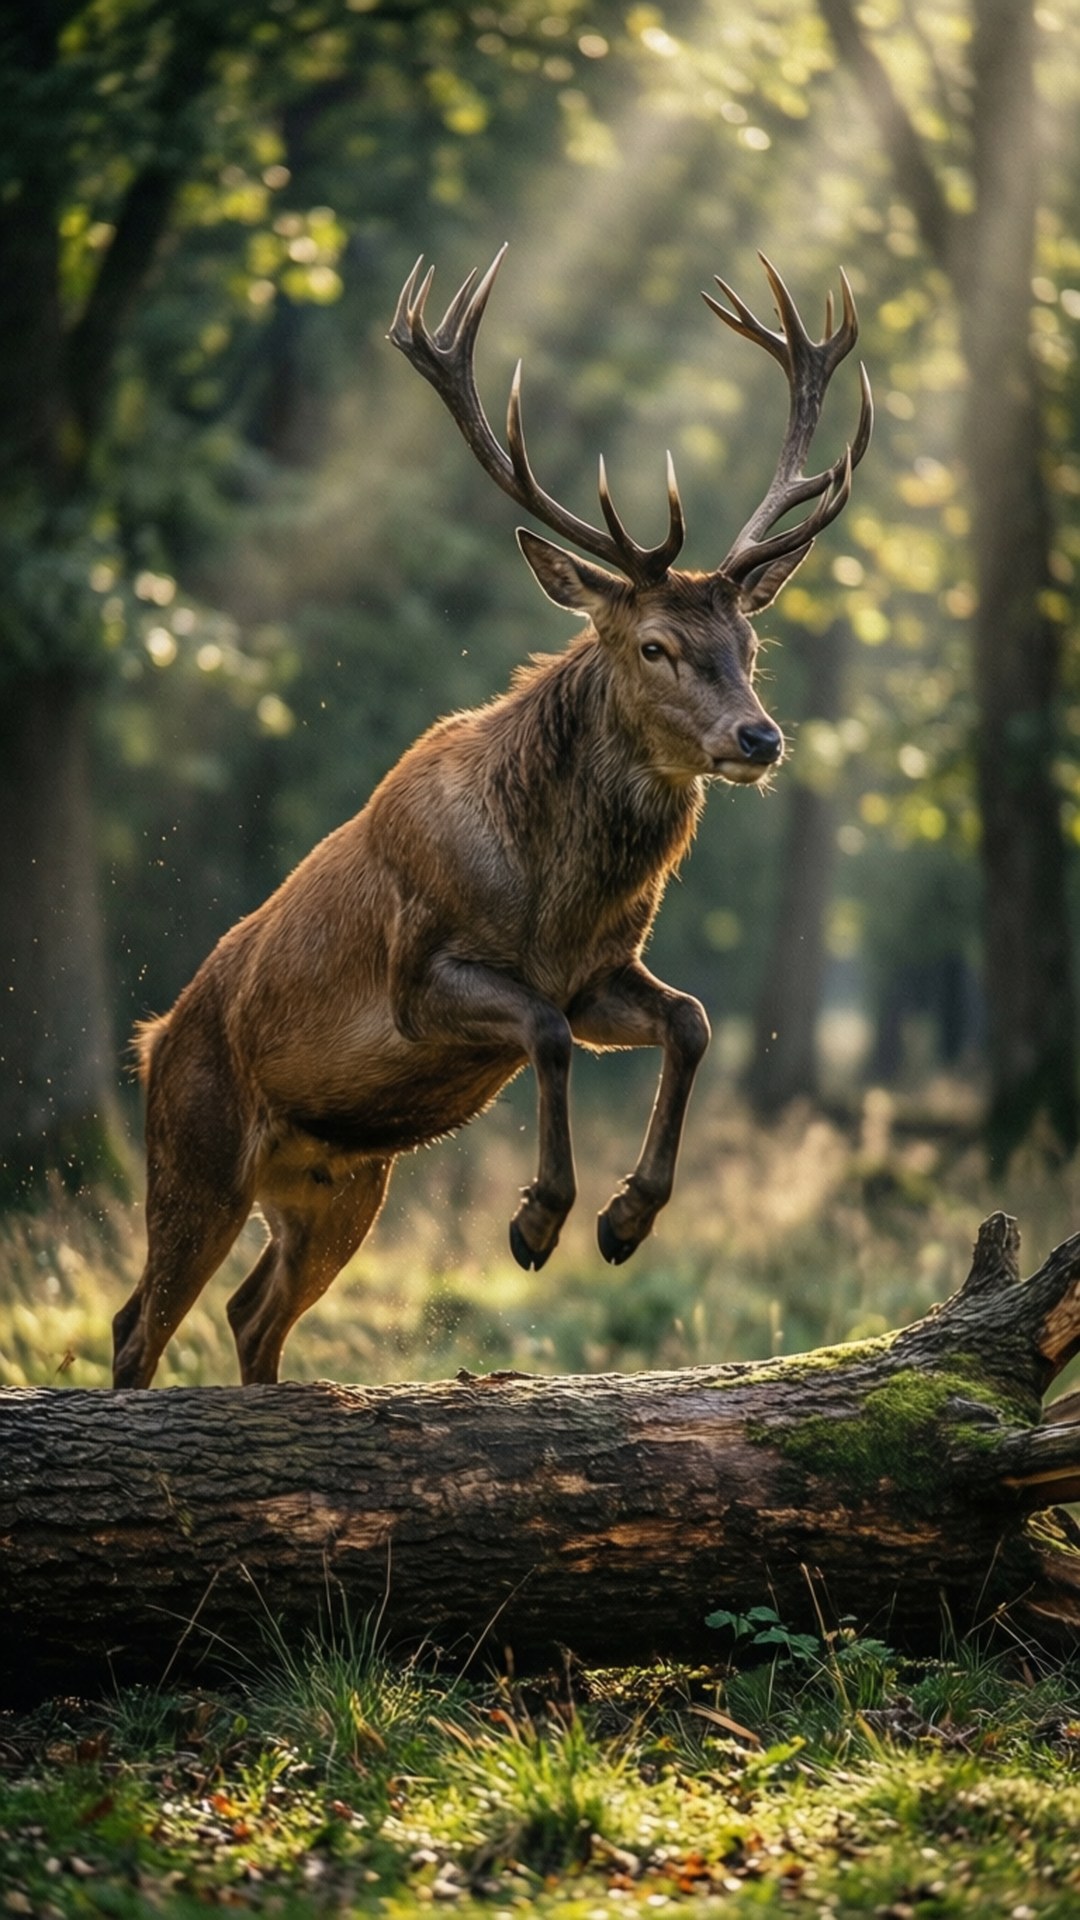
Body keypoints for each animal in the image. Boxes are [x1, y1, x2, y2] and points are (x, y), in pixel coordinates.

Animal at [112, 248, 871, 1389]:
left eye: (750, 644)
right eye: (653, 645)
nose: (759, 738)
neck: (550, 902)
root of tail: (152, 1042)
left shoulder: (602, 974)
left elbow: (690, 1021)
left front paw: (625, 1219)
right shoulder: (421, 975)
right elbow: (546, 1035)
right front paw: (540, 1219)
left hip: (338, 1182)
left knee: (251, 1313)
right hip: (194, 1149)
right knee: (137, 1326)